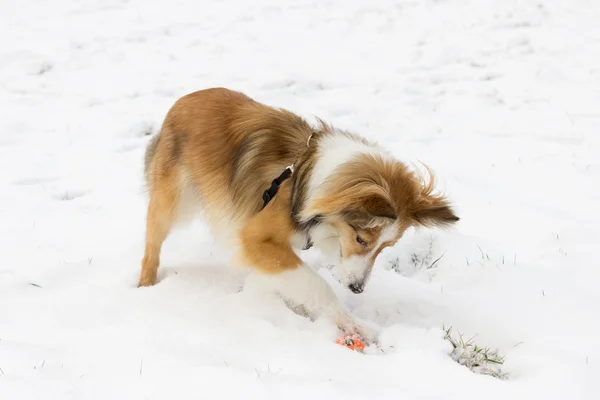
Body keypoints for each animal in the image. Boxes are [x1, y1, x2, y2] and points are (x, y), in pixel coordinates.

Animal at [139, 87, 460, 344]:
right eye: (361, 239)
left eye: (386, 247)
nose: (357, 289)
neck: (310, 182)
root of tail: (182, 101)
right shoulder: (256, 236)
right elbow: (314, 283)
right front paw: (350, 322)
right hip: (173, 202)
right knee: (152, 246)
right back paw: (144, 287)